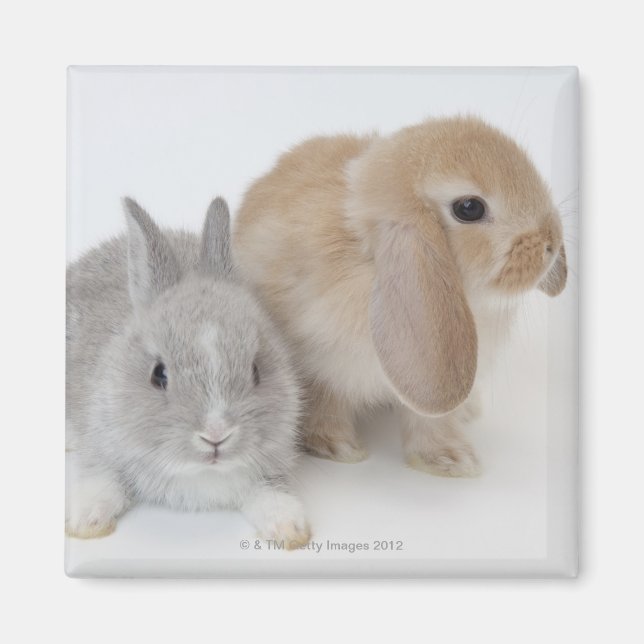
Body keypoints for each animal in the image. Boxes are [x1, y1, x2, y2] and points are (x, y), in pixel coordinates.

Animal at [66, 197, 310, 549]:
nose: (216, 435)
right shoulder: (102, 445)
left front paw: (290, 530)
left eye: (256, 370)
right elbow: (102, 480)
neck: (196, 472)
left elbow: (271, 494)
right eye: (158, 374)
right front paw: (85, 521)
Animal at [232, 116, 567, 477]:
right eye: (469, 208)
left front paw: (450, 459)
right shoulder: (321, 363)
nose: (550, 243)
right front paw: (337, 447)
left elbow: (429, 420)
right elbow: (325, 404)